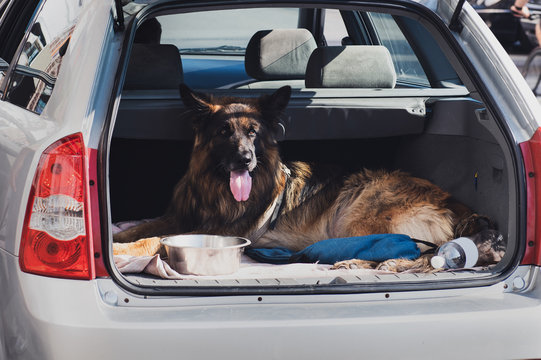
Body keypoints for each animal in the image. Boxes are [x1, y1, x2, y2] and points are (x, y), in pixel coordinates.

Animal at [112, 85, 500, 270]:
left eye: (253, 133)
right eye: (224, 132)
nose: (245, 161)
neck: (215, 189)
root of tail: (455, 203)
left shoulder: (217, 230)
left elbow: (153, 239)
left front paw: (119, 250)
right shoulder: (180, 217)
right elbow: (141, 228)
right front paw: (115, 239)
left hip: (358, 212)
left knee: (406, 248)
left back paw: (363, 262)